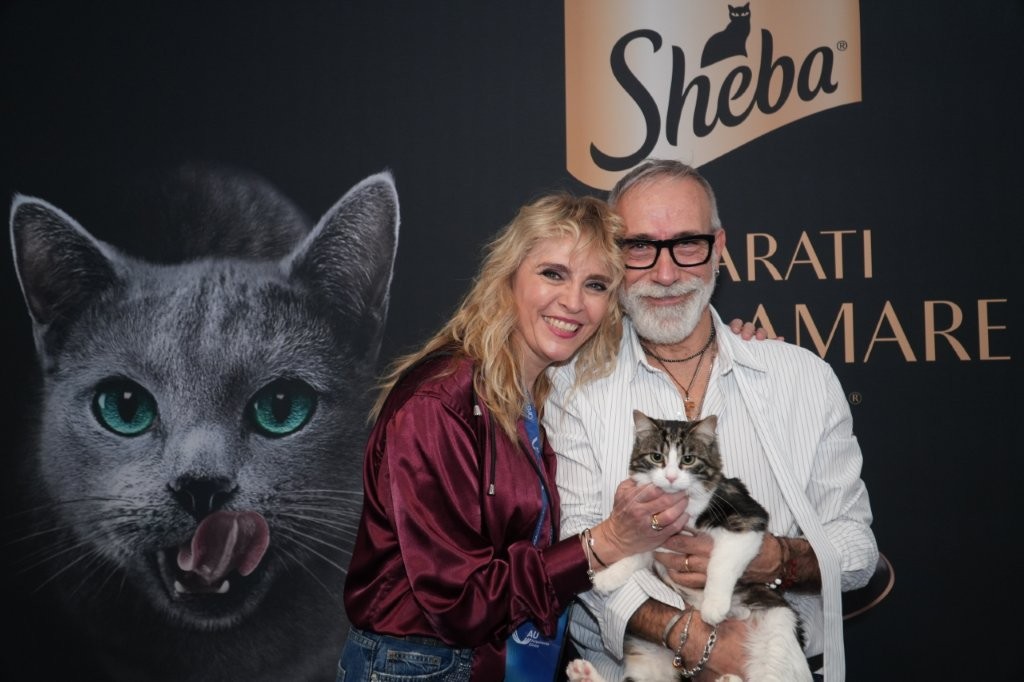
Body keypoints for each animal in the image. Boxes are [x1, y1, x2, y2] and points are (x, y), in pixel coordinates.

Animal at [566, 410, 811, 682]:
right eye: (657, 457)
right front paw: (607, 576)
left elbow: (721, 564)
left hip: (778, 630)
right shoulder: (654, 540)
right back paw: (583, 673)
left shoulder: (747, 520)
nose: (671, 476)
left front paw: (714, 606)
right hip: (649, 655)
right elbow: (635, 553)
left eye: (688, 459)